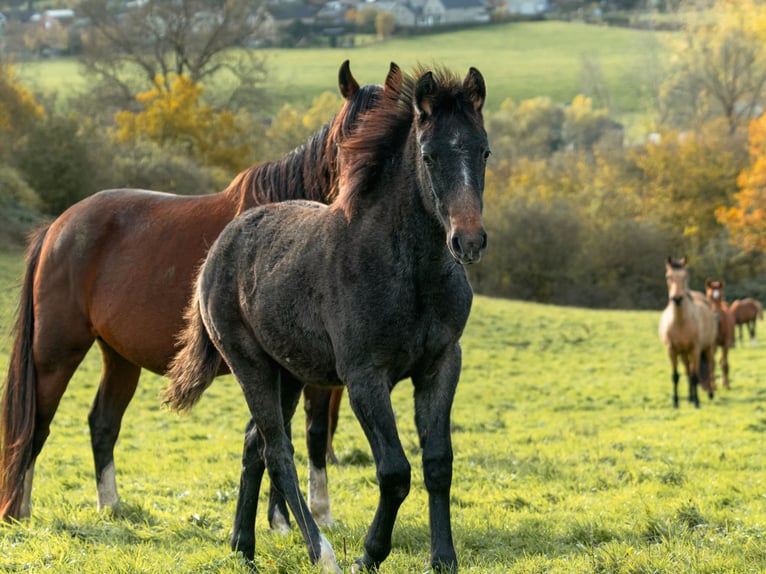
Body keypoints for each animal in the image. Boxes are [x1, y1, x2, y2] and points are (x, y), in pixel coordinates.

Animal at [0, 60, 382, 525]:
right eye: (344, 141)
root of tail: (56, 227)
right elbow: (289, 433)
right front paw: (293, 519)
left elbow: (305, 431)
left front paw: (301, 517)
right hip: (57, 352)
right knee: (36, 422)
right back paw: (19, 510)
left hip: (119, 356)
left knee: (102, 422)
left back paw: (111, 507)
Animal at [162, 63, 489, 572]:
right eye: (429, 155)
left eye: (485, 151)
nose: (469, 240)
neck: (408, 272)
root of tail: (223, 242)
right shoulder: (364, 377)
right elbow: (395, 470)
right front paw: (369, 555)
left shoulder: (440, 366)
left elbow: (438, 463)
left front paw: (443, 560)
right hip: (249, 364)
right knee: (277, 449)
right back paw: (322, 552)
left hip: (289, 373)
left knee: (254, 443)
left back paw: (244, 546)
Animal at [658, 257, 718, 408]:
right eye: (668, 277)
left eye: (685, 277)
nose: (677, 298)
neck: (680, 322)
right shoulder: (672, 350)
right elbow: (676, 376)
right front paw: (676, 402)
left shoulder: (695, 349)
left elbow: (695, 376)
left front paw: (697, 402)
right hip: (683, 353)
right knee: (687, 371)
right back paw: (690, 398)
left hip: (707, 348)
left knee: (709, 367)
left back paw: (710, 393)